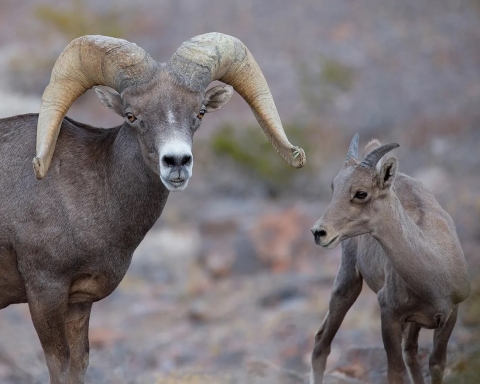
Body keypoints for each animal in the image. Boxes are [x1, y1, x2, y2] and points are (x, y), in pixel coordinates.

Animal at [0, 33, 306, 384]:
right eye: (131, 115)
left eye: (200, 112)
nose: (177, 162)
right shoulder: (44, 292)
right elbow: (59, 365)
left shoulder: (78, 304)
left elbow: (77, 365)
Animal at [310, 135, 470, 384]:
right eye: (334, 187)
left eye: (361, 193)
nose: (319, 232)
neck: (435, 274)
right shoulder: (390, 315)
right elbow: (396, 372)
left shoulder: (450, 315)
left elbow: (436, 364)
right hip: (348, 282)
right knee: (321, 341)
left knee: (411, 352)